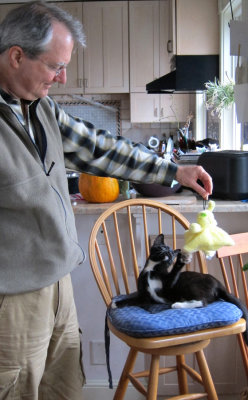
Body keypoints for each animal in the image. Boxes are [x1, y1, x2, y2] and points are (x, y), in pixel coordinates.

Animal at [112, 234, 248, 344]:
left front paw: (182, 259)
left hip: (190, 285)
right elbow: (132, 299)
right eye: (163, 248)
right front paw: (116, 303)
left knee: (202, 301)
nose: (169, 253)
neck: (152, 270)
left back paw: (177, 304)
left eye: (172, 254)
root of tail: (219, 283)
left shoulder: (168, 287)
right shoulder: (144, 297)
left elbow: (174, 273)